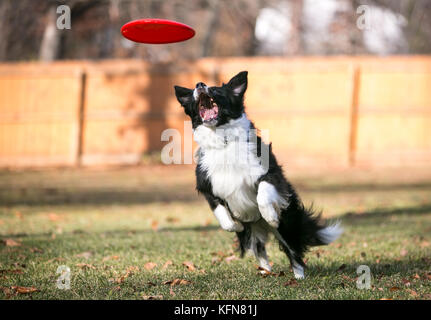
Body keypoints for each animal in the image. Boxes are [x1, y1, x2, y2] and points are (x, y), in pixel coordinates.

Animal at [174, 71, 342, 278]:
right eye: (194, 93)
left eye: (216, 90)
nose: (199, 84)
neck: (223, 139)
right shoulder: (207, 185)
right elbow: (222, 215)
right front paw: (236, 224)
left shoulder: (270, 173)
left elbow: (263, 192)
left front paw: (270, 215)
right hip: (254, 233)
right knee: (259, 248)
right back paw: (265, 271)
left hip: (286, 225)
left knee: (293, 250)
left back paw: (299, 276)